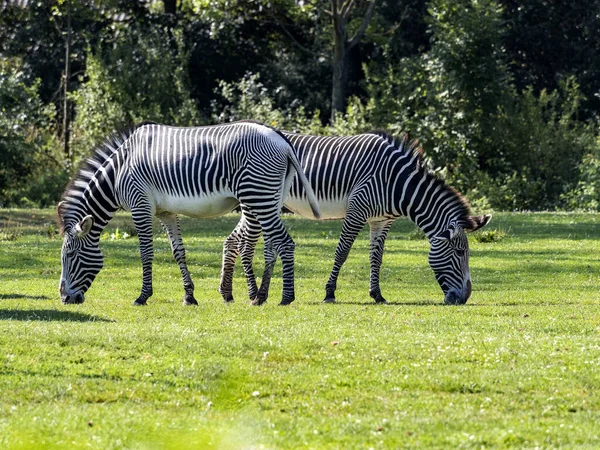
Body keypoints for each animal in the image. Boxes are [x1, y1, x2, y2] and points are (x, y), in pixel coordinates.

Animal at [58, 121, 322, 308]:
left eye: (70, 255)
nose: (64, 299)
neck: (118, 173)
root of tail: (282, 141)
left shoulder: (140, 205)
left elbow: (146, 253)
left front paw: (143, 296)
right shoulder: (166, 211)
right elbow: (178, 252)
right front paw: (189, 296)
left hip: (257, 196)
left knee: (285, 243)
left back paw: (285, 297)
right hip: (269, 197)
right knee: (272, 245)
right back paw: (261, 295)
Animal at [220, 131, 492, 306]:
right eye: (460, 253)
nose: (463, 299)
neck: (396, 183)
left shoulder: (382, 220)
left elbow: (377, 258)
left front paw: (377, 294)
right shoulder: (357, 210)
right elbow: (342, 252)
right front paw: (330, 293)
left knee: (234, 240)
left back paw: (230, 293)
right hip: (257, 200)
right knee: (244, 243)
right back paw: (250, 294)